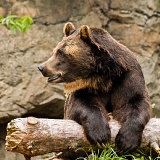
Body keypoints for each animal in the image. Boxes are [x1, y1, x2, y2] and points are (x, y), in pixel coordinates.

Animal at [37, 22, 151, 159]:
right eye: (55, 51)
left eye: (61, 52)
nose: (42, 67)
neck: (103, 78)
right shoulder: (85, 89)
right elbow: (82, 104)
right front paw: (100, 135)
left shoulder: (128, 77)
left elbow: (135, 102)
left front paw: (126, 141)